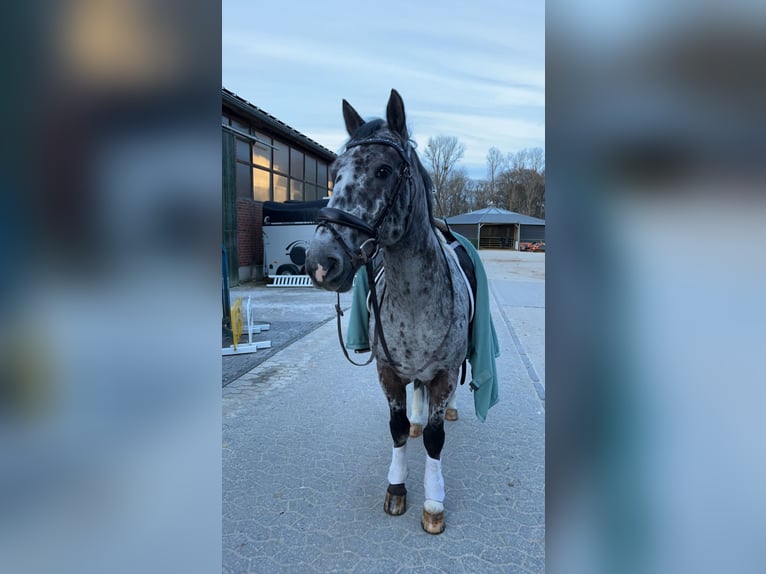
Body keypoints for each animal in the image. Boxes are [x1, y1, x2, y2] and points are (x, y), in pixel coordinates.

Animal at [305, 89, 471, 534]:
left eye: (383, 170)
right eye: (334, 171)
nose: (320, 262)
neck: (414, 302)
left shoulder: (445, 373)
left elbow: (435, 440)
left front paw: (433, 503)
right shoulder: (387, 371)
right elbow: (396, 430)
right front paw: (396, 488)